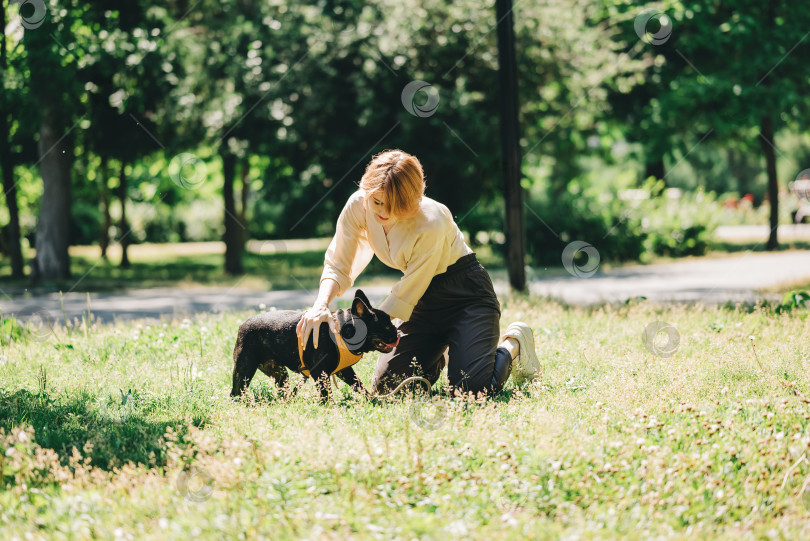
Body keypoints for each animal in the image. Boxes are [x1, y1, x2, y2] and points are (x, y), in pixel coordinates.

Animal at [230, 288, 398, 398]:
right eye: (386, 326)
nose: (396, 332)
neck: (341, 331)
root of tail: (242, 325)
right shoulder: (320, 373)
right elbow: (326, 394)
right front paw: (330, 409)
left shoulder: (345, 371)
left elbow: (358, 385)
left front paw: (372, 400)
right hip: (244, 369)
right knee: (237, 390)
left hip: (280, 374)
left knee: (283, 389)